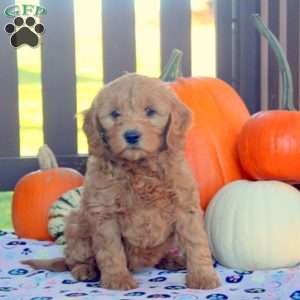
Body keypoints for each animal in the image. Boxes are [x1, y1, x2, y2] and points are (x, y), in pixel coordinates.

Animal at [22, 73, 220, 290]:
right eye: (115, 114)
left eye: (150, 112)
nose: (131, 135)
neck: (140, 169)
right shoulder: (104, 213)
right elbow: (111, 251)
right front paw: (117, 279)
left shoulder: (185, 206)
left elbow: (196, 243)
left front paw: (203, 276)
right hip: (76, 224)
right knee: (72, 259)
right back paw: (85, 270)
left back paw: (170, 259)